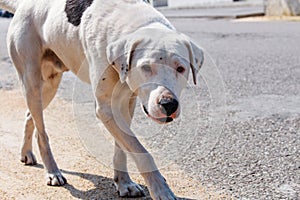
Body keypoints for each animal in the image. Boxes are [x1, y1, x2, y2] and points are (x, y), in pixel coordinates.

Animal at [0, 0, 204, 199]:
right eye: (146, 67)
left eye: (181, 68)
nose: (169, 104)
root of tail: (22, 6)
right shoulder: (105, 109)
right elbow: (141, 151)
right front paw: (160, 189)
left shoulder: (126, 103)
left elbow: (123, 147)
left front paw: (124, 183)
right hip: (31, 80)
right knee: (41, 131)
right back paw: (53, 171)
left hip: (50, 84)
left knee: (29, 116)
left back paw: (26, 153)